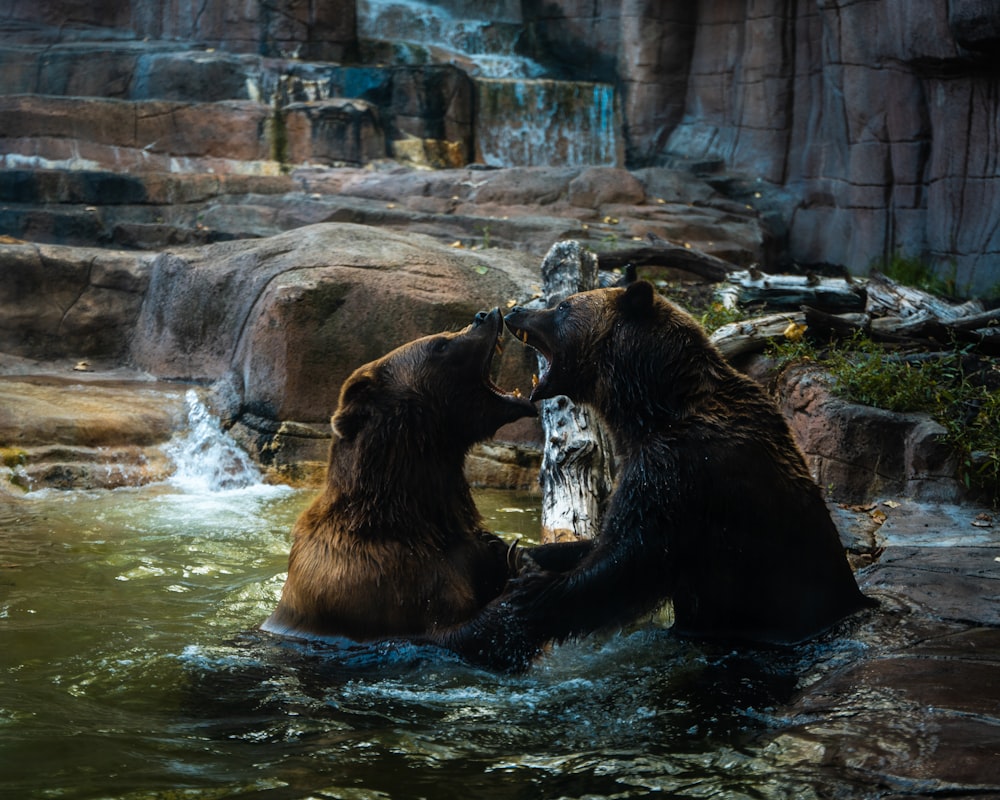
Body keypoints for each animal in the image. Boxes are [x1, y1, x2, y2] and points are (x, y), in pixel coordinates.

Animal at [258, 308, 544, 644]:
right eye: (440, 345)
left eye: (445, 334)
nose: (484, 315)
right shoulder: (381, 583)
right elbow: (455, 629)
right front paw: (521, 577)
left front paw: (509, 553)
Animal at [434, 282, 872, 668]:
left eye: (563, 306)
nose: (516, 311)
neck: (652, 409)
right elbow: (602, 542)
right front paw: (522, 553)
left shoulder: (681, 473)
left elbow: (630, 558)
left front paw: (530, 593)